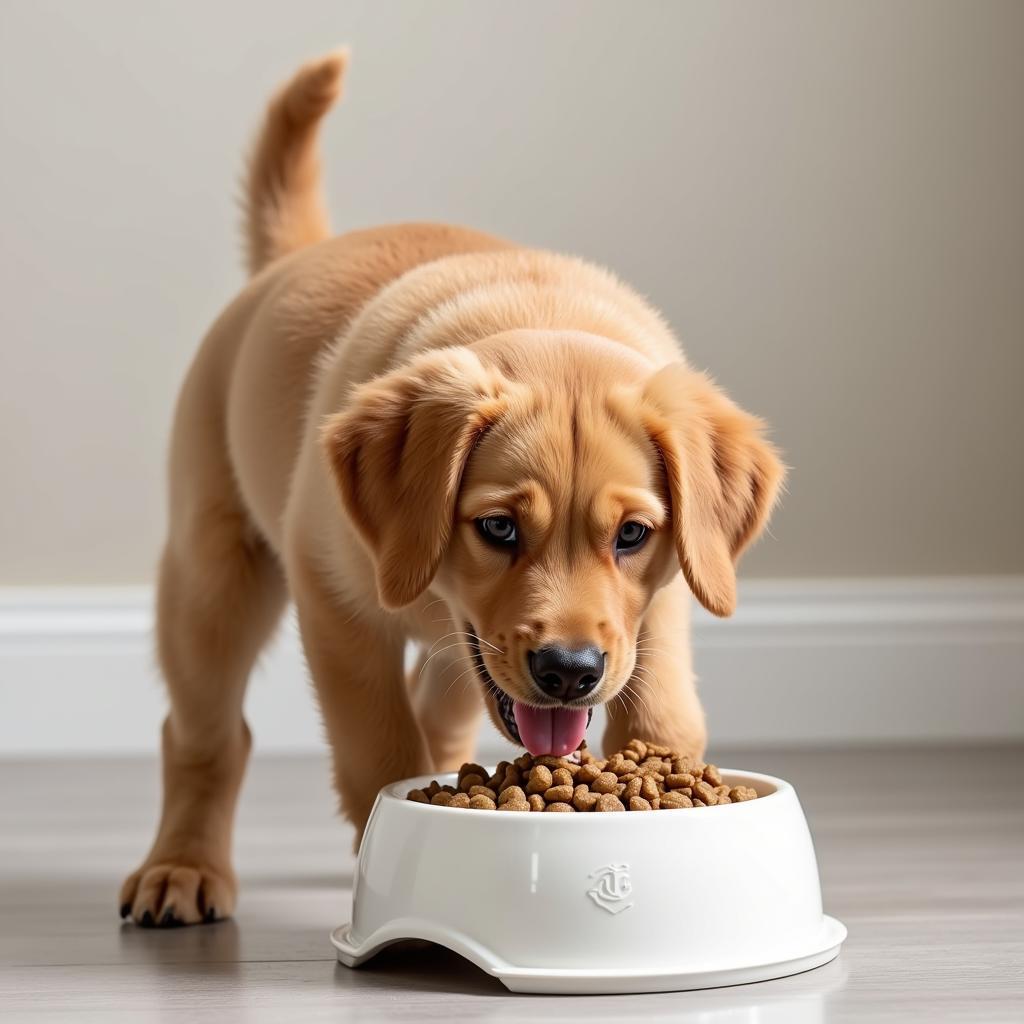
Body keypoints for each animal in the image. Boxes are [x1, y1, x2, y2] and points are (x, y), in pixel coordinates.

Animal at [117, 49, 782, 929]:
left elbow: (663, 713)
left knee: (440, 702)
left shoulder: (662, 606)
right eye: (498, 529)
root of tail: (292, 259)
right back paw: (182, 866)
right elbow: (379, 747)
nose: (569, 672)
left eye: (632, 536)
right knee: (204, 735)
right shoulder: (333, 598)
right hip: (212, 574)